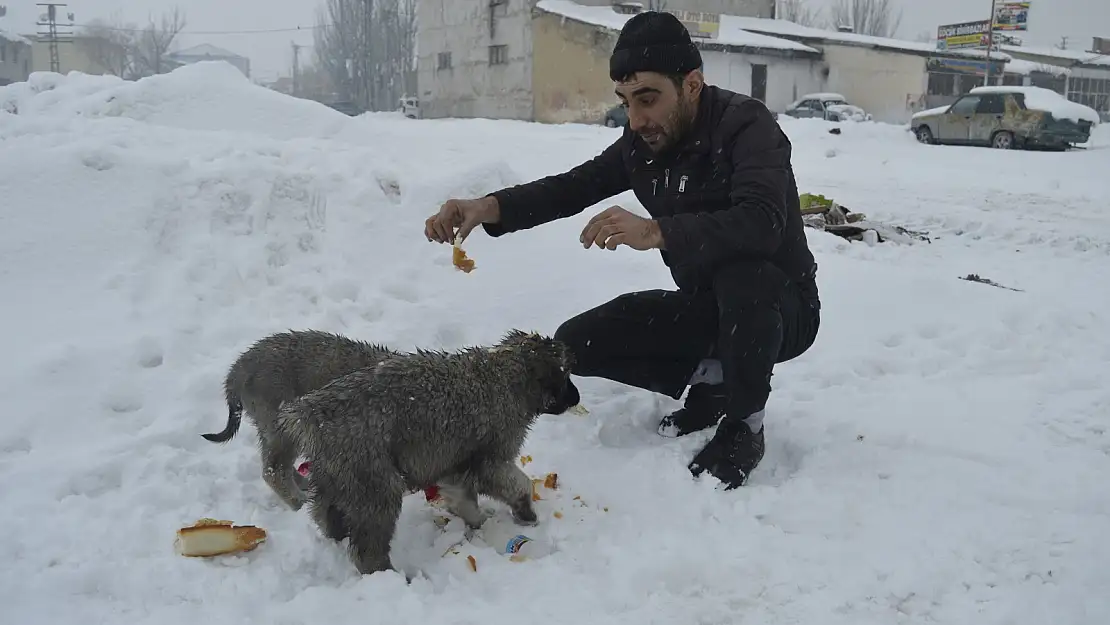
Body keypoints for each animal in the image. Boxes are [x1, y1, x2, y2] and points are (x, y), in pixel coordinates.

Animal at [275, 330, 581, 581]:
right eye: (565, 373)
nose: (577, 397)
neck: (507, 375)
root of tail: (309, 415)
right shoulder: (489, 459)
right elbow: (516, 483)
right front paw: (525, 511)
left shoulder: (452, 462)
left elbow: (462, 495)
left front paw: (477, 521)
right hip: (373, 481)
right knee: (369, 540)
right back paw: (387, 574)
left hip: (337, 473)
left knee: (325, 511)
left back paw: (336, 534)